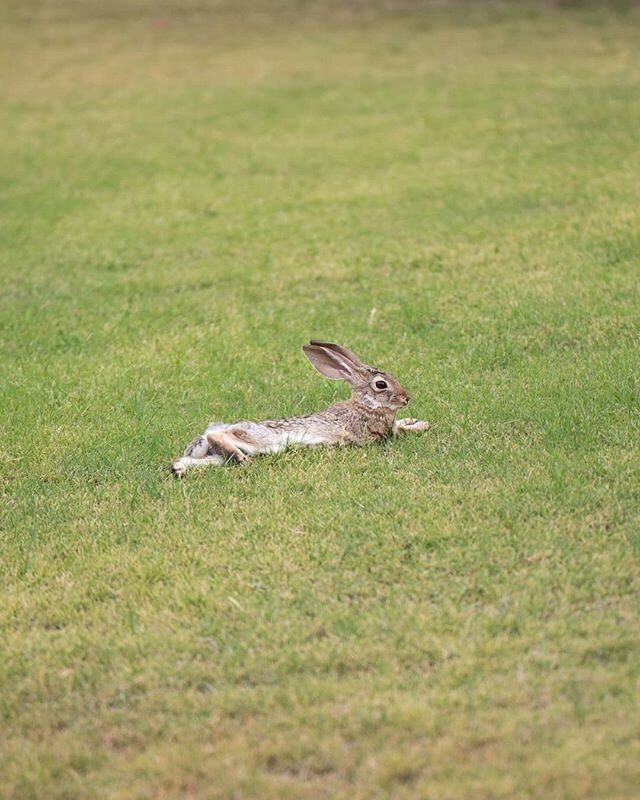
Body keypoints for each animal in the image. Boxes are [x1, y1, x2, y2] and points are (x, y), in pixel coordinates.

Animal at [171, 338, 430, 476]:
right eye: (381, 384)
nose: (406, 398)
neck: (365, 404)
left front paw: (416, 420)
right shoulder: (375, 432)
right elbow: (398, 431)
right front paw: (420, 426)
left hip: (217, 457)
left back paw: (180, 470)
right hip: (258, 439)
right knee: (221, 435)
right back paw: (241, 459)